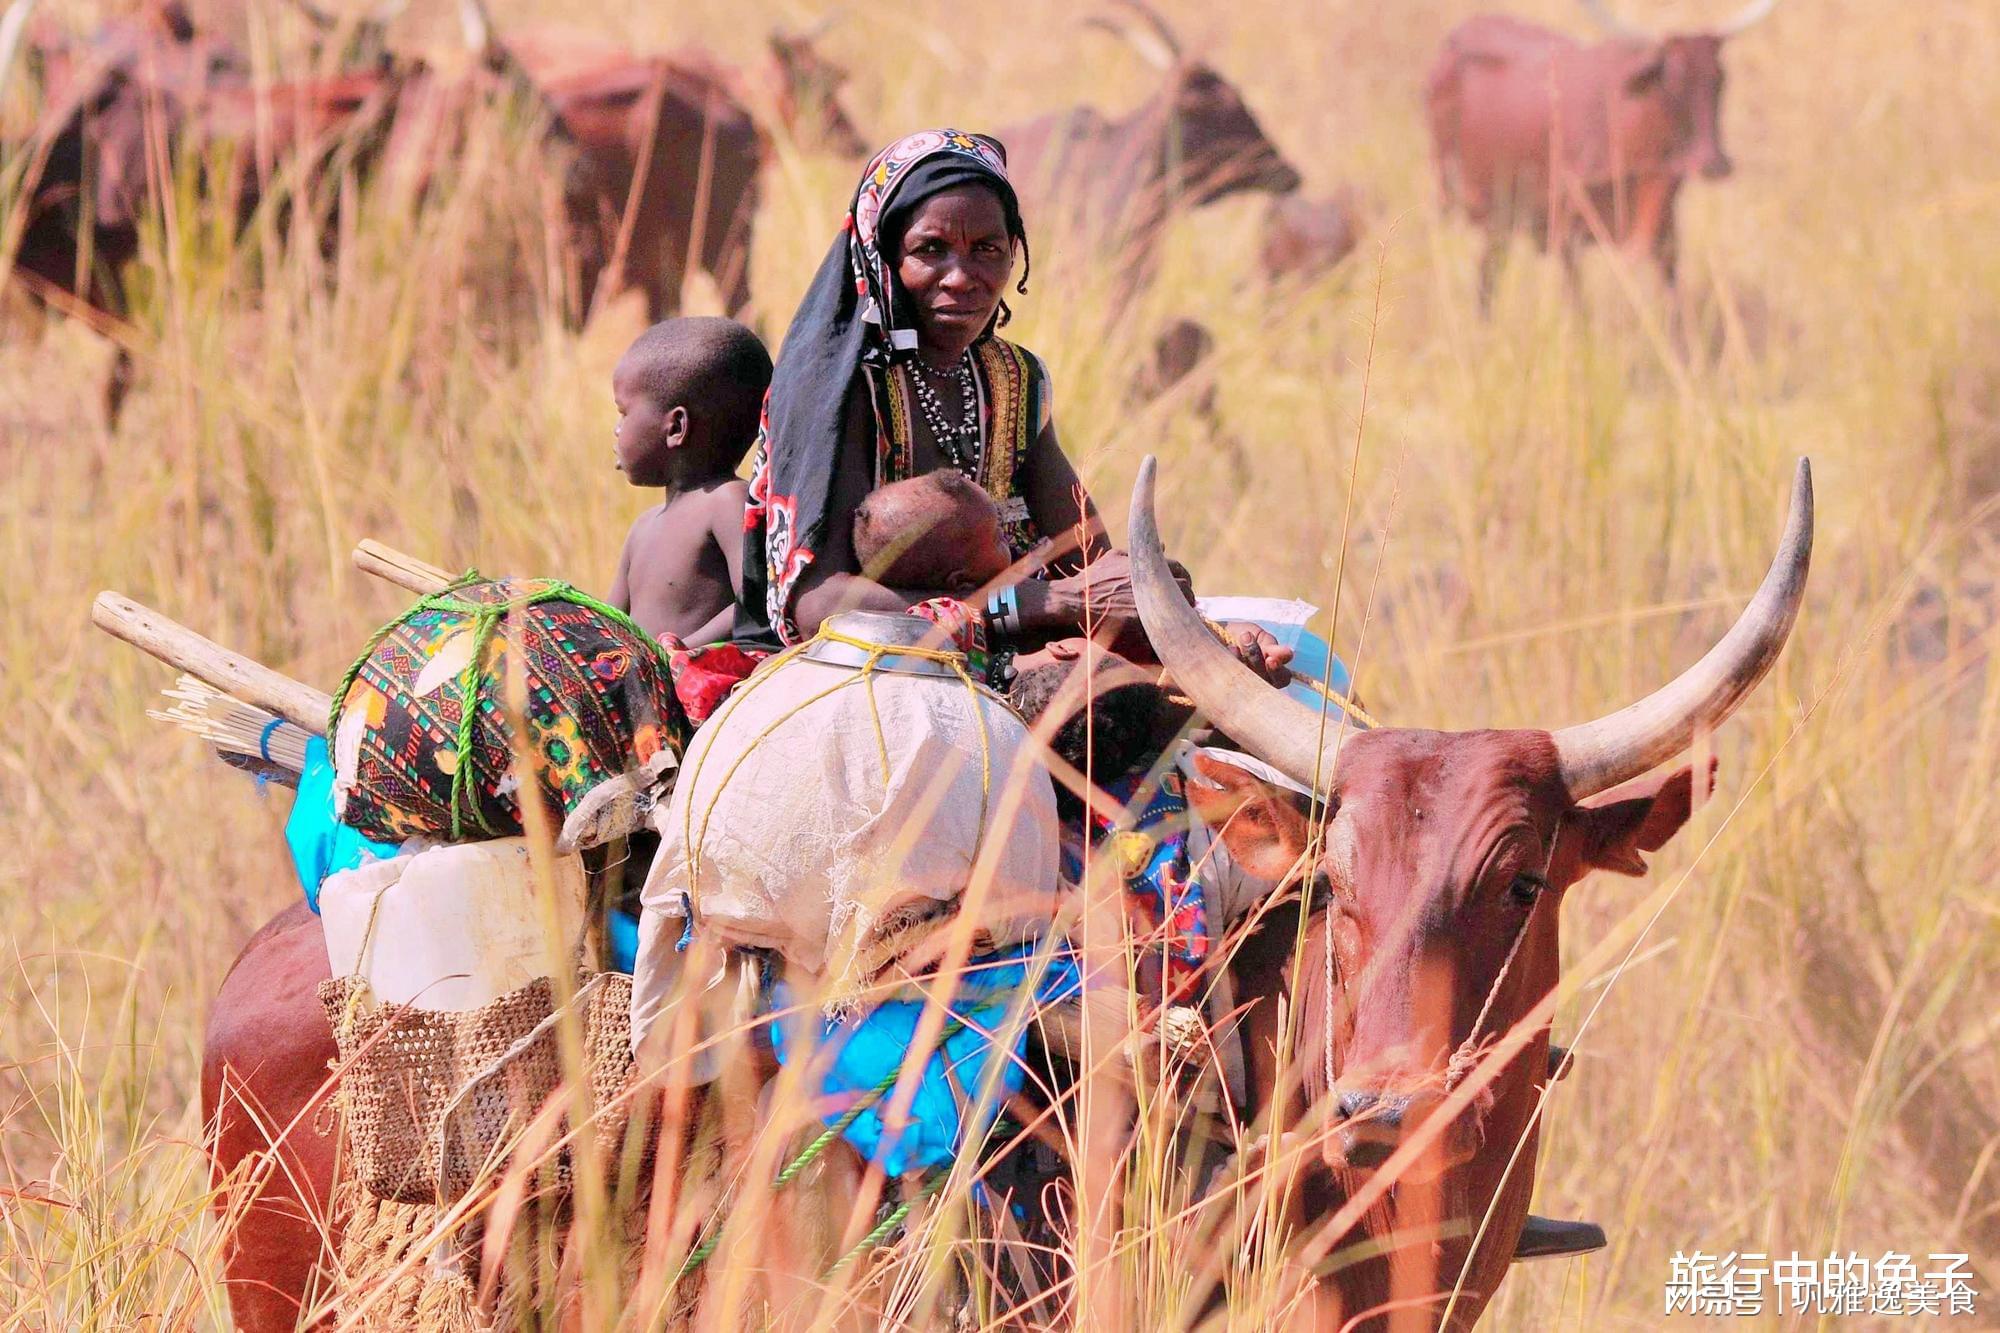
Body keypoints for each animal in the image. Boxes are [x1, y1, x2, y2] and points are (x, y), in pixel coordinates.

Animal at [1424, 0, 1784, 302]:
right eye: (1671, 80)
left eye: (1719, 78)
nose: (1714, 163)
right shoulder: (1566, 236)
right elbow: (1578, 311)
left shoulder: (1666, 241)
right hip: (1452, 197)